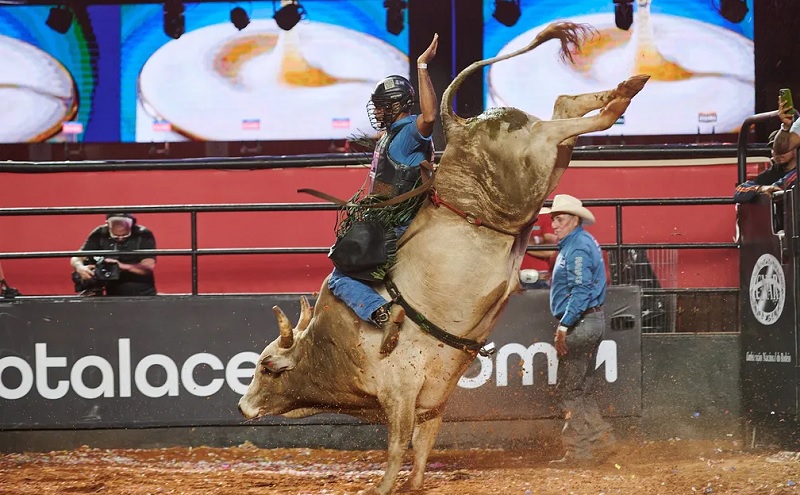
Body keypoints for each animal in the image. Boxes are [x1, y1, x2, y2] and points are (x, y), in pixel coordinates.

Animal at [239, 22, 648, 495]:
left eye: (265, 366)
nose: (242, 407)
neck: (331, 348)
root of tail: (459, 127)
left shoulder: (398, 392)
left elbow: (398, 445)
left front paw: (384, 486)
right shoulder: (432, 399)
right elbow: (423, 444)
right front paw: (416, 482)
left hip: (529, 162)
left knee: (560, 123)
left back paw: (620, 99)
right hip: (544, 168)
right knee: (563, 107)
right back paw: (623, 90)